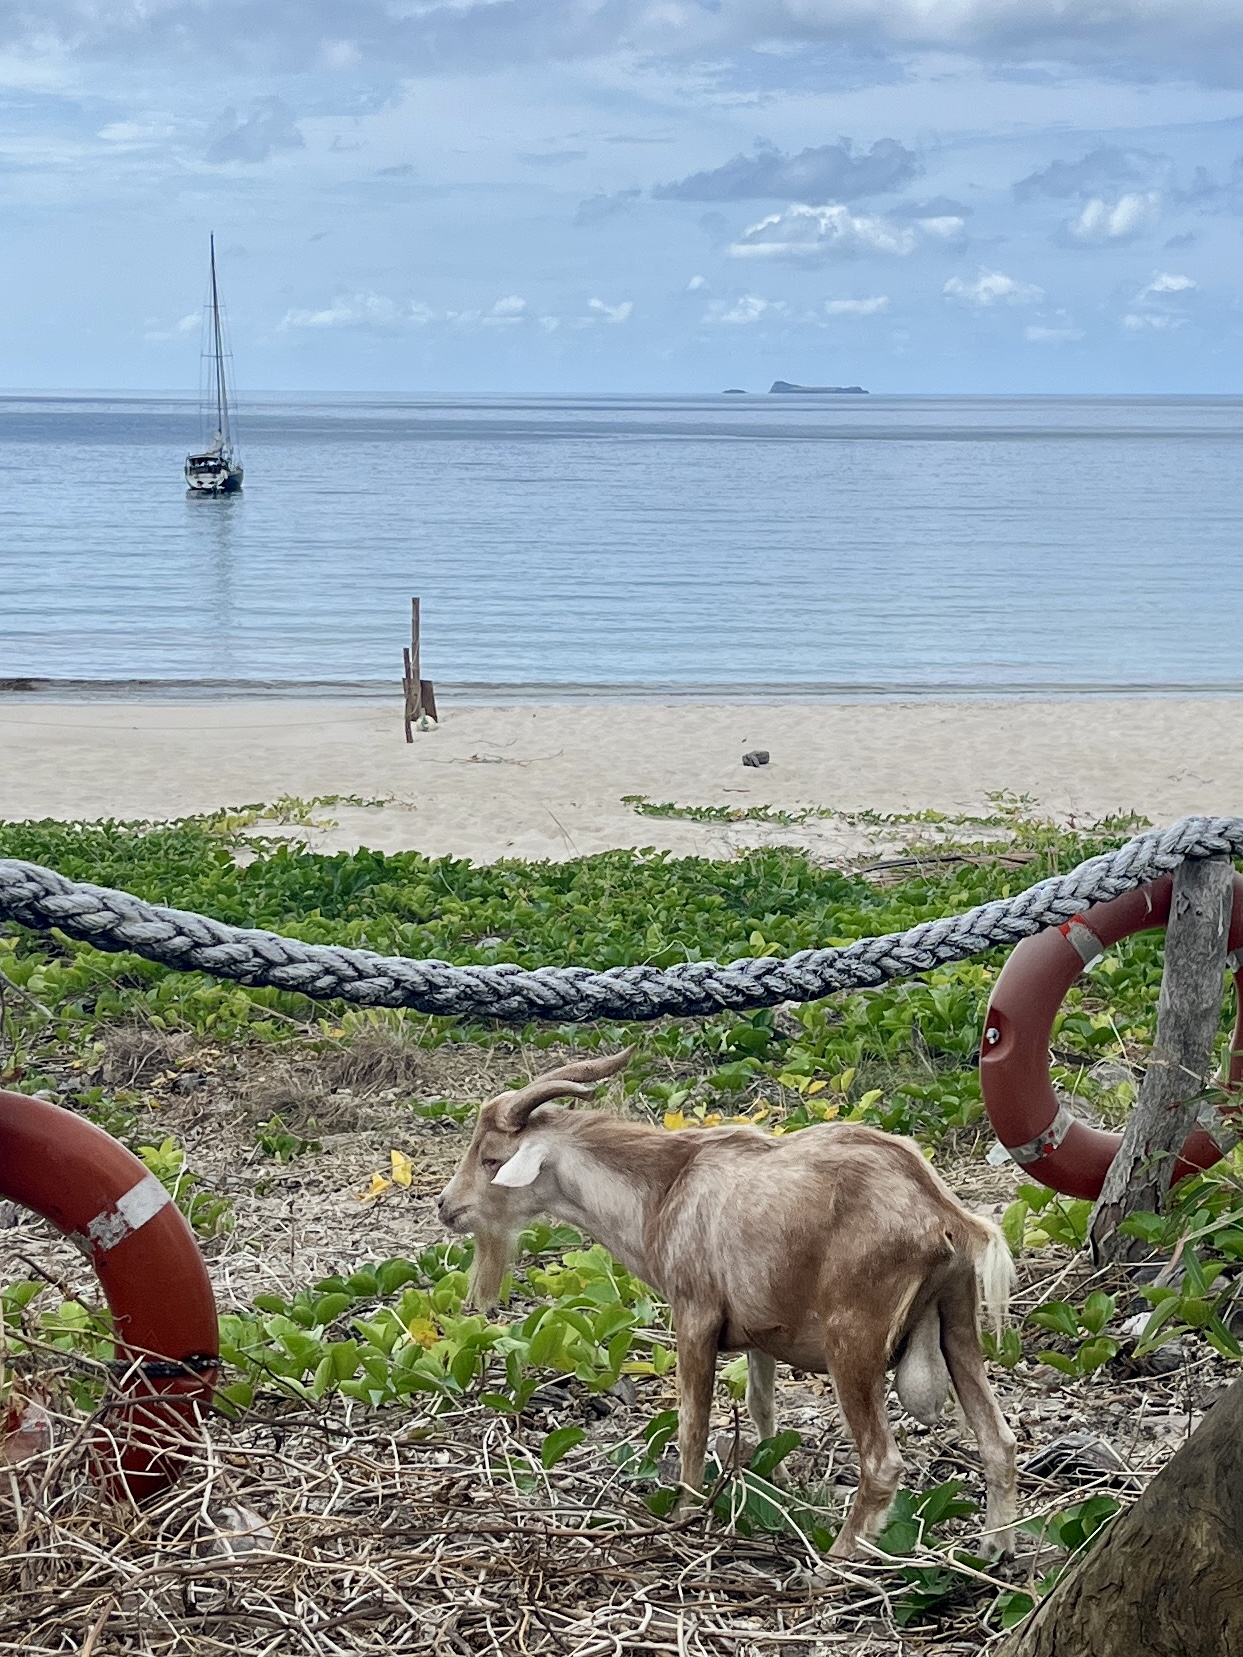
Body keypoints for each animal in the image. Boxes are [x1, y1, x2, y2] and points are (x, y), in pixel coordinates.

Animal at [437, 1049, 1017, 1560]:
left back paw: (836, 1562)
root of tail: (941, 1213)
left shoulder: (695, 1316)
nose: (447, 1208)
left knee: (882, 1461)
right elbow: (762, 1408)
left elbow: (693, 1422)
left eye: (491, 1159)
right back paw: (995, 1551)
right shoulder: (762, 1331)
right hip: (958, 1323)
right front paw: (778, 1487)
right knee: (998, 1441)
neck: (665, 1189)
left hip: (853, 1338)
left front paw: (685, 1515)